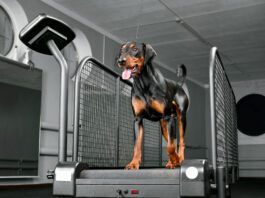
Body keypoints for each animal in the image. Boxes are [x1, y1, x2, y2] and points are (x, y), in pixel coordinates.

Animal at [117, 41, 188, 170]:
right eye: (122, 50)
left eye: (135, 49)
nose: (120, 61)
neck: (144, 83)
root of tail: (179, 85)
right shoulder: (138, 119)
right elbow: (137, 145)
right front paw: (133, 163)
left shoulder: (168, 116)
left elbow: (170, 146)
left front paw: (175, 160)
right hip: (163, 126)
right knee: (173, 140)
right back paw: (172, 161)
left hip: (180, 118)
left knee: (180, 141)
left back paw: (179, 159)